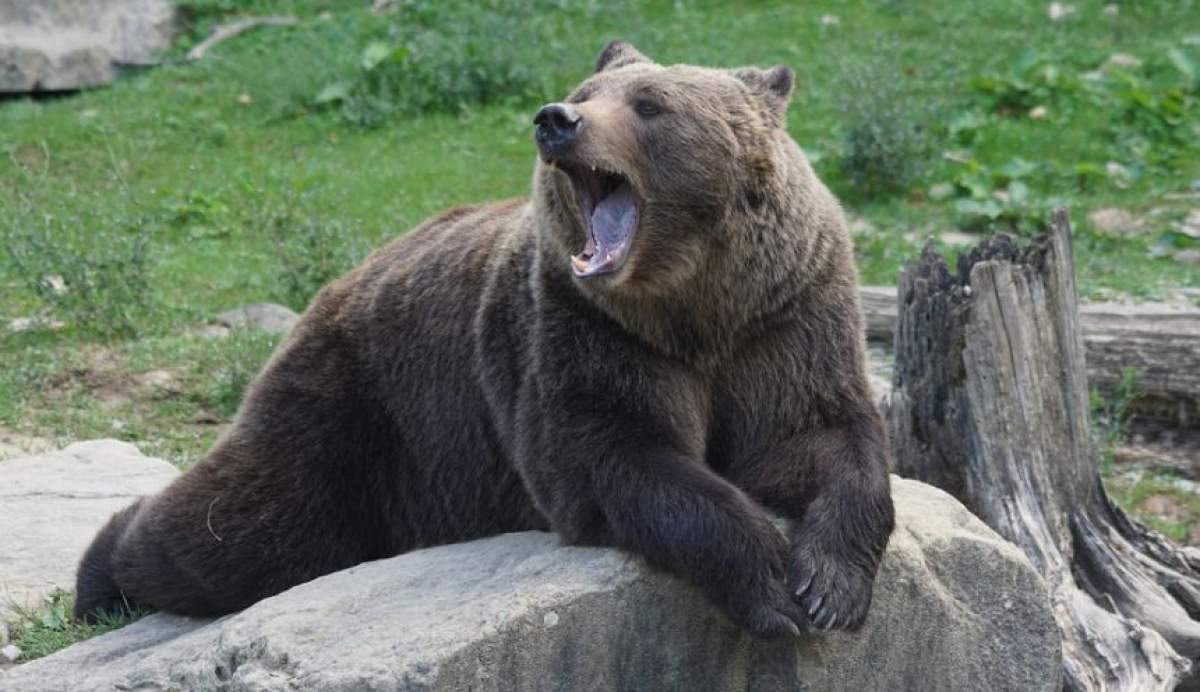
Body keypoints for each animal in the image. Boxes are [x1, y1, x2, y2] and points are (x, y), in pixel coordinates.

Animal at [75, 40, 897, 633]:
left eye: (650, 103)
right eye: (588, 93)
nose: (556, 118)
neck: (692, 305)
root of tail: (341, 281)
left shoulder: (785, 316)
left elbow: (821, 437)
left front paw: (828, 588)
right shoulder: (582, 332)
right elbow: (619, 455)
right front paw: (770, 586)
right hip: (362, 411)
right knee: (248, 529)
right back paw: (101, 575)